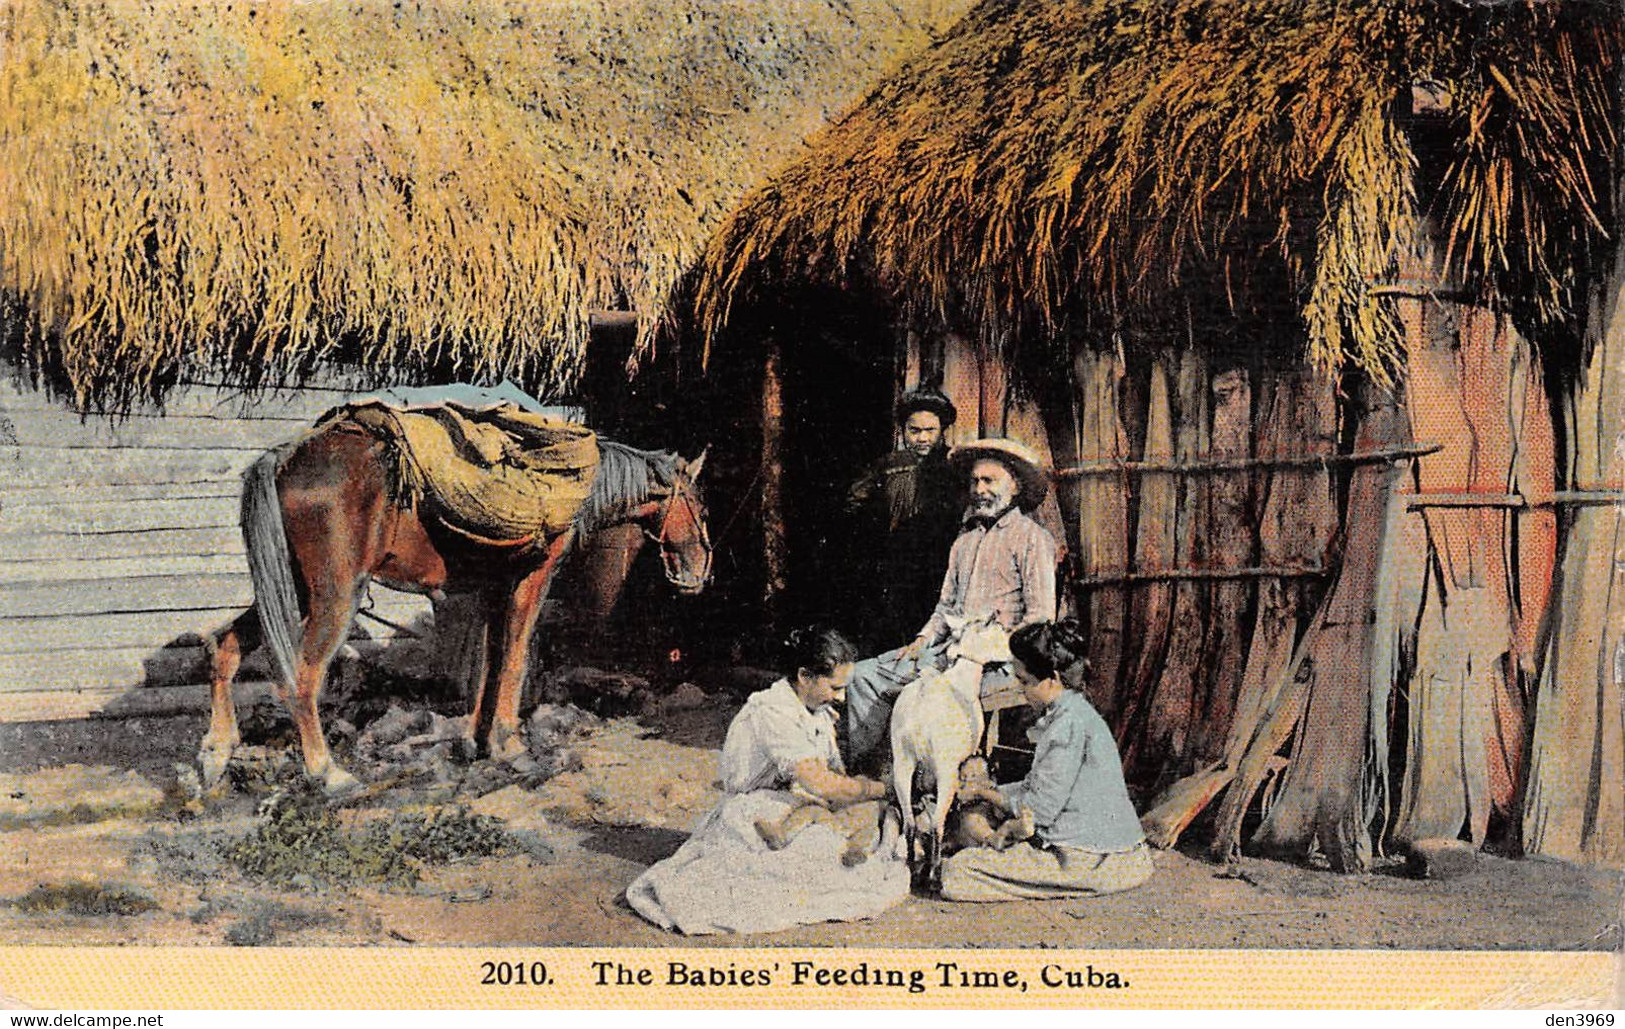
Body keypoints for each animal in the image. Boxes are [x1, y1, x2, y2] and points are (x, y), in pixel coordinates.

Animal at [199, 412, 708, 790]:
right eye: (700, 504)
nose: (699, 572)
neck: (569, 482)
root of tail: (284, 459)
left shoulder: (492, 588)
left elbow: (488, 662)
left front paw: (477, 743)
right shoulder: (530, 580)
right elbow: (515, 660)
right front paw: (510, 744)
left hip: (295, 590)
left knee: (225, 647)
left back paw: (215, 754)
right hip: (334, 596)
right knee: (302, 680)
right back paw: (327, 772)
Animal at [890, 620, 1014, 884]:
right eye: (998, 633)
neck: (961, 677)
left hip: (902, 762)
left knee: (909, 823)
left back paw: (911, 865)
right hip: (945, 770)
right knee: (937, 823)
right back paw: (934, 874)